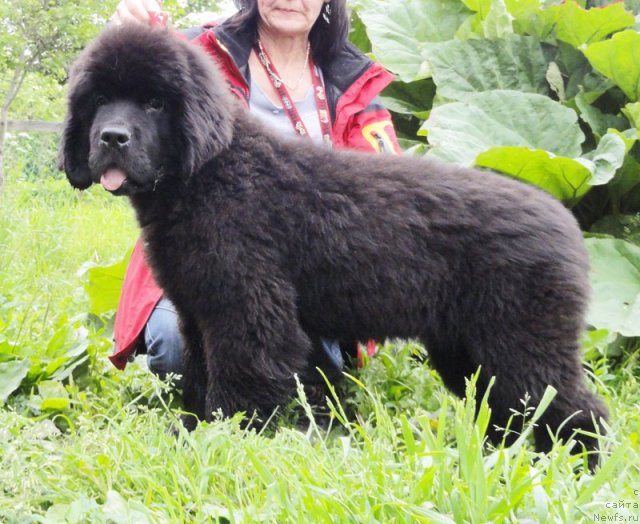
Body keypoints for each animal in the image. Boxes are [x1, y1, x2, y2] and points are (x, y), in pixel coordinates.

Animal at [62, 25, 608, 466]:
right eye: (98, 100)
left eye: (154, 103)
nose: (112, 137)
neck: (207, 175)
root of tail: (567, 222)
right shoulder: (198, 313)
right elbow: (198, 375)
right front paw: (194, 425)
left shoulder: (248, 310)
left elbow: (239, 380)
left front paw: (218, 435)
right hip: (468, 347)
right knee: (510, 409)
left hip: (523, 342)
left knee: (575, 406)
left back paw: (578, 468)